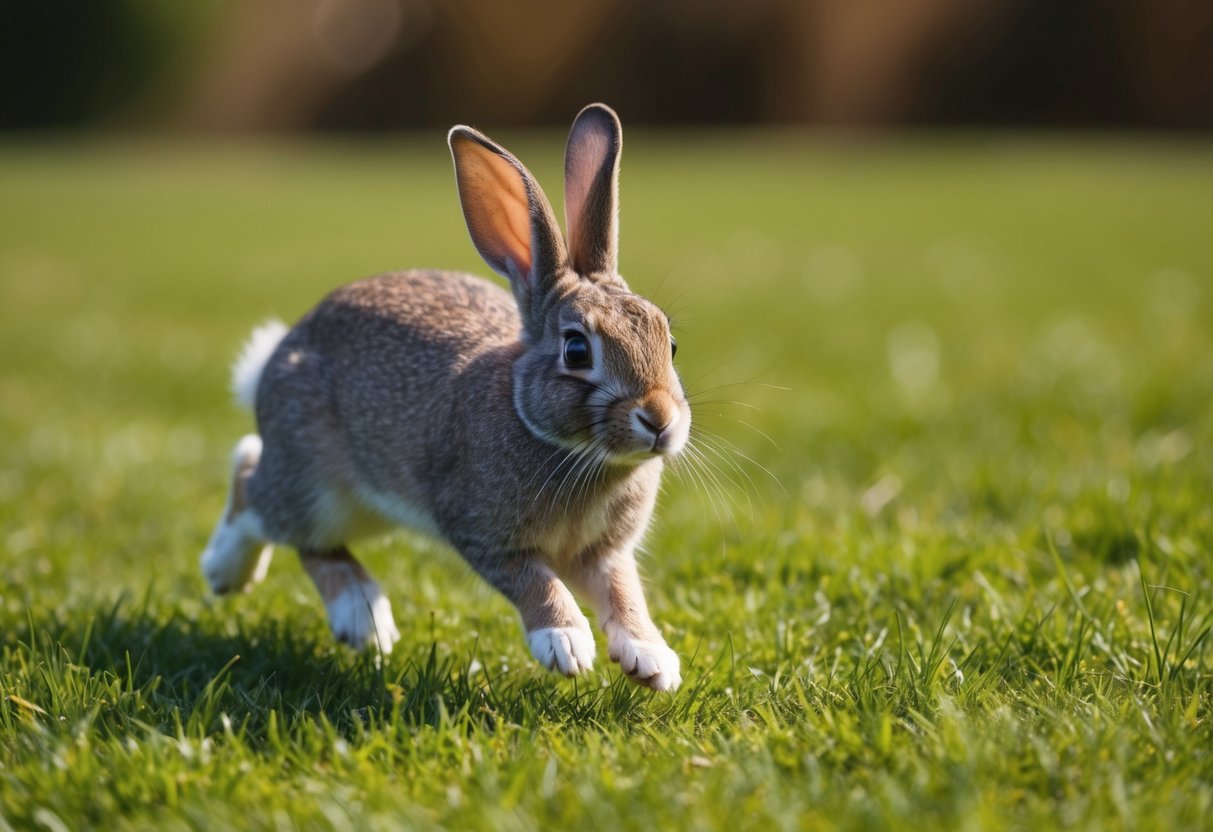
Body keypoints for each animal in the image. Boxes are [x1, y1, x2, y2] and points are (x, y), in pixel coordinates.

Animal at [199, 104, 689, 691]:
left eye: (671, 343)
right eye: (576, 350)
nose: (659, 419)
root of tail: (276, 360)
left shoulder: (606, 555)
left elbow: (623, 593)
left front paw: (652, 661)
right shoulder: (481, 531)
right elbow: (535, 581)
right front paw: (566, 644)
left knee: (280, 501)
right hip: (318, 489)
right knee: (260, 495)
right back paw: (274, 587)